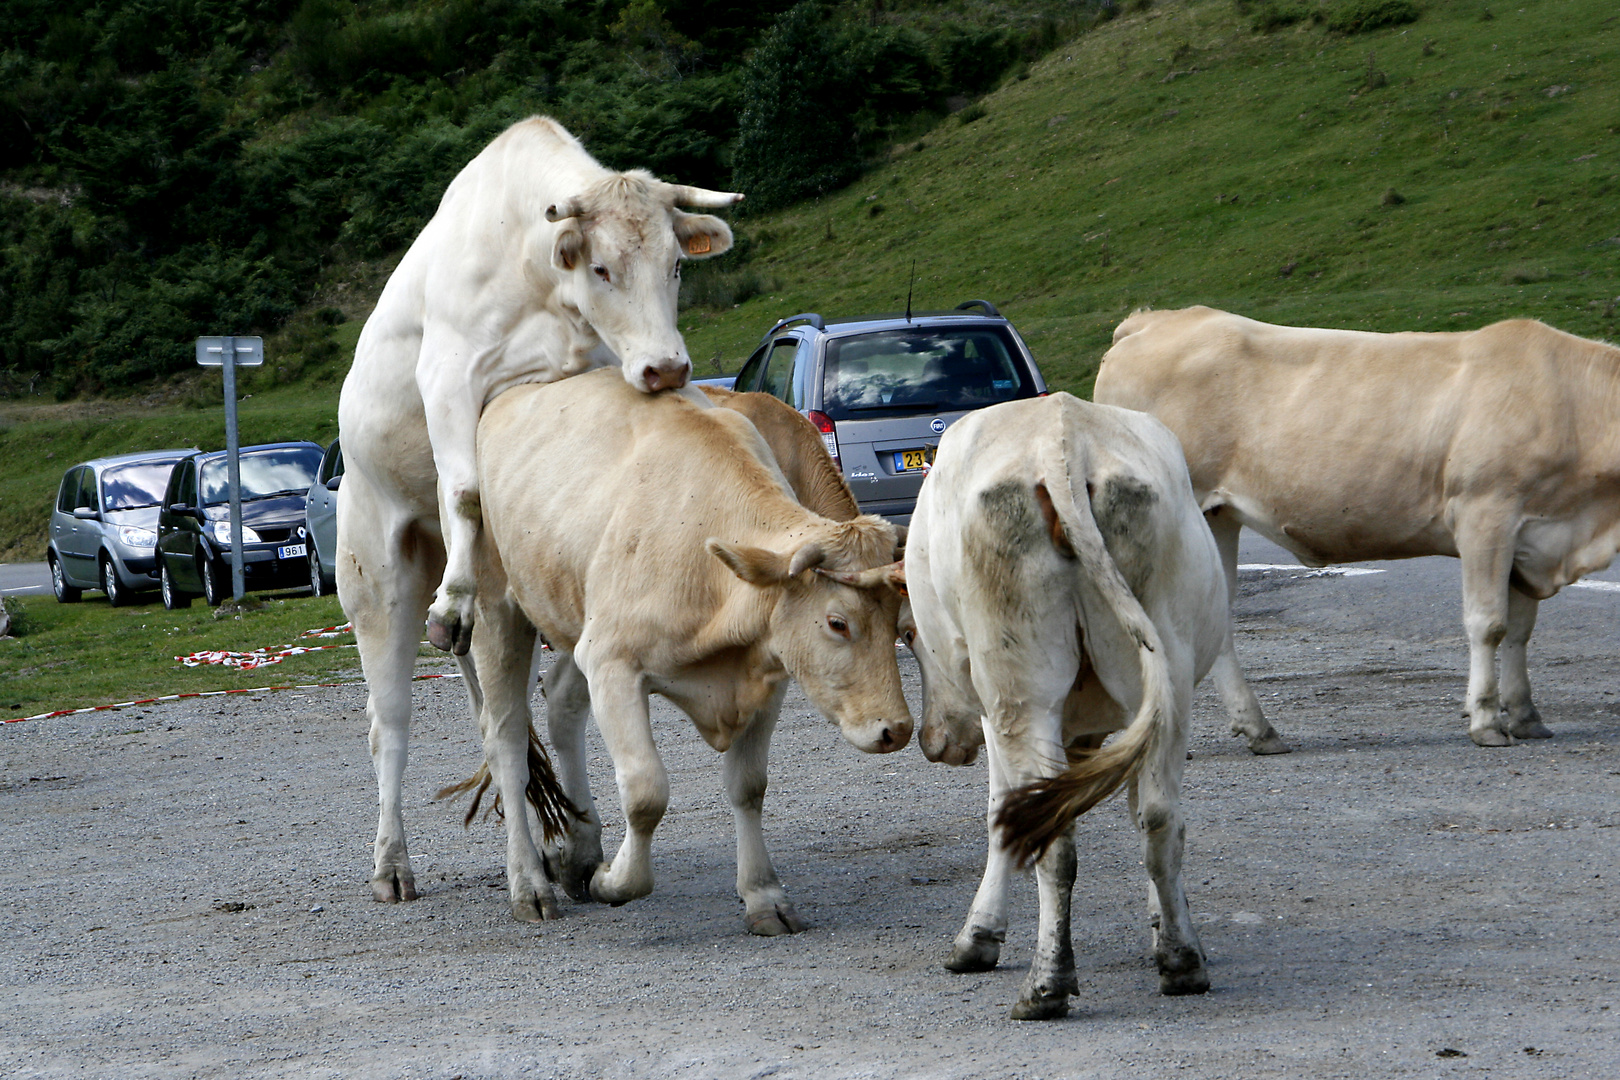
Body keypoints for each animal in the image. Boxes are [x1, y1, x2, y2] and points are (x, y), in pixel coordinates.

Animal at [336, 116, 741, 906]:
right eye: (602, 269)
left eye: (677, 266)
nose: (668, 368)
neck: (535, 277)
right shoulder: (449, 377)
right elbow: (463, 489)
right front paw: (456, 597)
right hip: (376, 577)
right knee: (388, 723)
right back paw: (392, 863)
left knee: (538, 708)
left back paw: (571, 848)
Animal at [466, 367, 913, 932]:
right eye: (838, 622)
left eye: (898, 621)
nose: (896, 729)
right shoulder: (612, 664)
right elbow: (645, 792)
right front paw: (615, 882)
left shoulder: (767, 674)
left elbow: (749, 785)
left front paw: (765, 897)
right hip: (496, 607)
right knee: (505, 741)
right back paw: (529, 884)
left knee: (561, 703)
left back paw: (579, 851)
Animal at [900, 393, 1224, 1016]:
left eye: (907, 635)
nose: (932, 740)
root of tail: (1062, 437)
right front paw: (1165, 928)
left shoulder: (992, 710)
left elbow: (1001, 812)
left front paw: (978, 938)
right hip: (1168, 670)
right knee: (1160, 818)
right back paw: (1181, 961)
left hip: (1018, 691)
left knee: (1046, 832)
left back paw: (1046, 985)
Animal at [1095, 307, 1620, 751]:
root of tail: (1154, 320)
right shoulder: (1485, 512)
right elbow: (1488, 623)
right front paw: (1487, 721)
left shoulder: (1534, 535)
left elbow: (1520, 631)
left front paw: (1527, 716)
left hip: (1214, 516)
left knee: (1216, 620)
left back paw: (1260, 729)